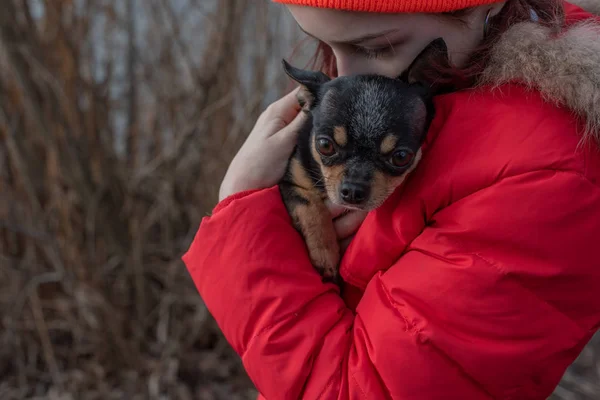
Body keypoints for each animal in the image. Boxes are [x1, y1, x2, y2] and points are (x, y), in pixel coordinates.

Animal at [280, 37, 450, 284]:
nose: (352, 191)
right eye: (325, 145)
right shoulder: (292, 183)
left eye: (401, 157)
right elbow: (310, 208)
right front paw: (325, 255)